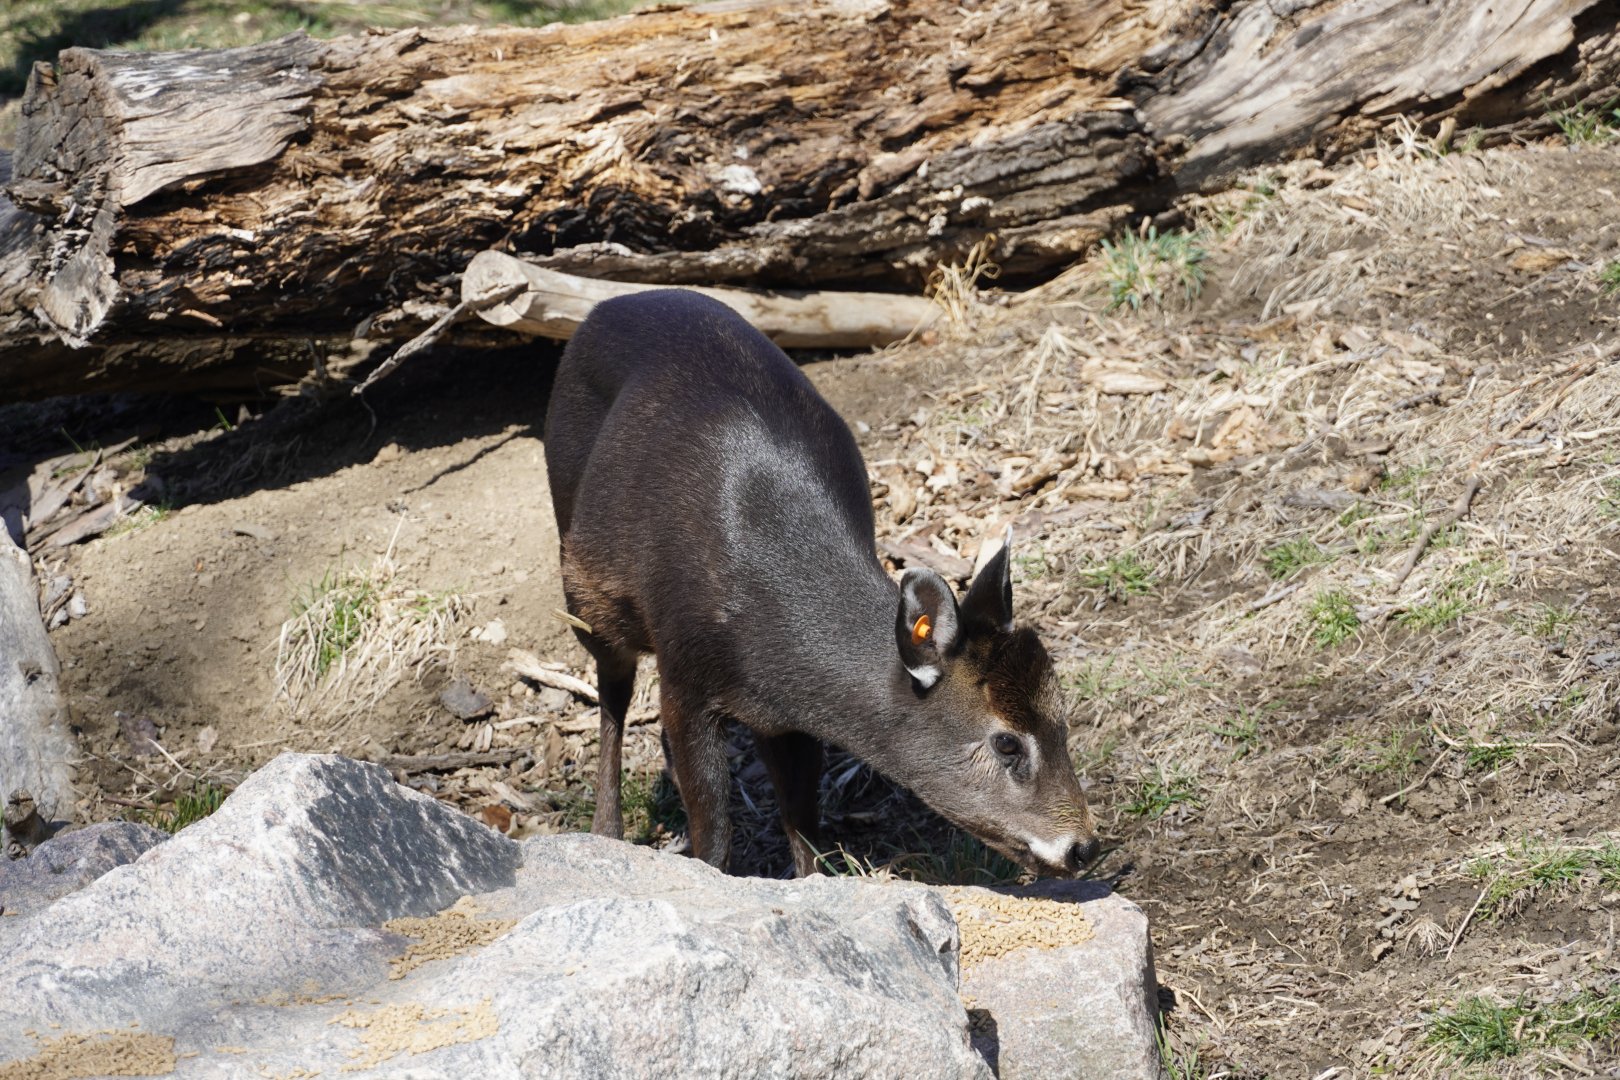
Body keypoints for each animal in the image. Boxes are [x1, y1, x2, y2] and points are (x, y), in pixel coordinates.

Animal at [543, 289, 1098, 878]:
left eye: (1063, 720)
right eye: (1007, 744)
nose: (1084, 846)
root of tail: (605, 306)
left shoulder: (785, 716)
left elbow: (804, 821)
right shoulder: (686, 679)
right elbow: (713, 834)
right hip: (581, 584)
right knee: (611, 695)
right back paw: (606, 830)